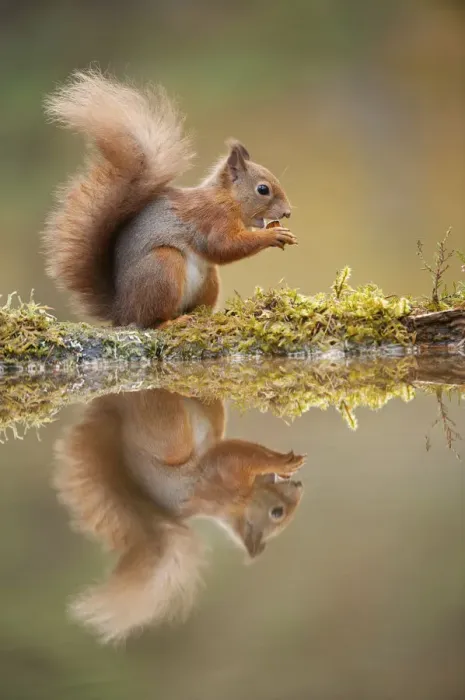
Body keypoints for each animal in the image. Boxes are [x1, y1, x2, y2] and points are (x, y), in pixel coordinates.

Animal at [43, 70, 296, 327]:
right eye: (263, 189)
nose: (287, 212)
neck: (227, 199)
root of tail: (123, 312)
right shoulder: (212, 218)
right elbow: (223, 246)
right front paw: (273, 235)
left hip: (209, 279)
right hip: (163, 266)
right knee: (152, 321)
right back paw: (172, 322)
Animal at [53, 388, 305, 643]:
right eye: (277, 512)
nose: (299, 486)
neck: (238, 506)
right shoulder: (224, 477)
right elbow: (244, 455)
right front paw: (281, 463)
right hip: (172, 437)